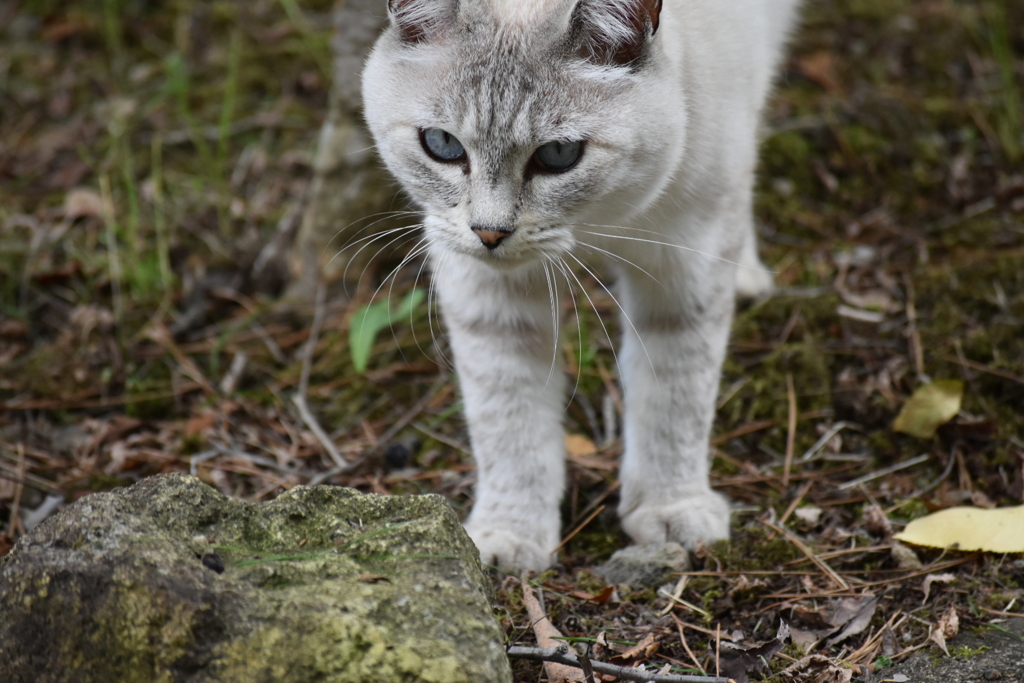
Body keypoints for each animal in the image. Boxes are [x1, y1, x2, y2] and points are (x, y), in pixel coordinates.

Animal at [364, 0, 802, 573]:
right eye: (441, 145)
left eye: (558, 155)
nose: (489, 233)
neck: (596, 224)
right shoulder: (489, 295)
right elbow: (508, 421)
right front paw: (510, 538)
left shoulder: (685, 271)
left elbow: (676, 402)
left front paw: (672, 510)